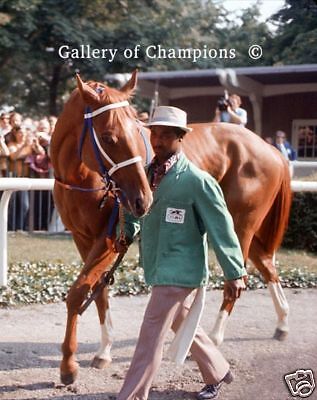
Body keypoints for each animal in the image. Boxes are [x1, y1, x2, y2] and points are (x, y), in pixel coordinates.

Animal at [50, 72, 152, 384]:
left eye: (138, 129)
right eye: (108, 137)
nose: (143, 199)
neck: (81, 179)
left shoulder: (110, 239)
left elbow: (78, 292)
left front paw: (68, 364)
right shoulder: (82, 238)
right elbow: (98, 290)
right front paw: (103, 352)